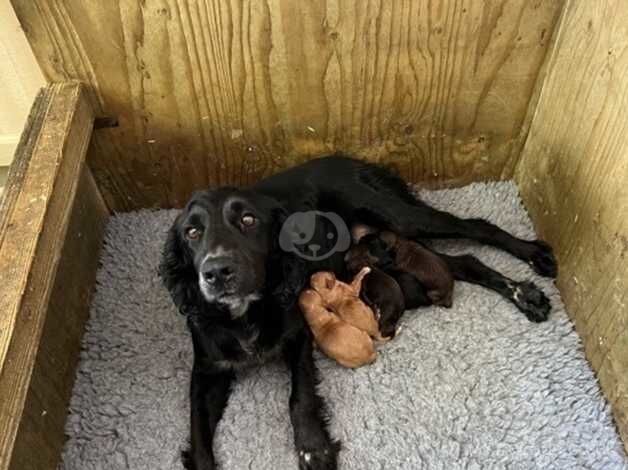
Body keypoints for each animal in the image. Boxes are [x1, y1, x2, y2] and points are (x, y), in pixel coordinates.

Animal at [161, 155, 556, 470]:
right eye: (192, 232)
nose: (216, 272)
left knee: (478, 227)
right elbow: (198, 432)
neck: (244, 313)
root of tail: (353, 160)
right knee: (465, 262)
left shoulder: (299, 338)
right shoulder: (207, 369)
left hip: (403, 217)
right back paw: (524, 294)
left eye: (247, 220)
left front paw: (313, 449)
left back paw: (532, 264)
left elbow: (300, 397)